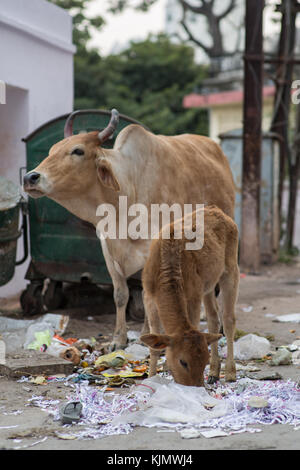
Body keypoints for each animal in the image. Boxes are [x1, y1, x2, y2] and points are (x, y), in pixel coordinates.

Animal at [23, 110, 236, 350]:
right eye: (51, 150)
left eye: (78, 151)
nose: (30, 177)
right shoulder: (108, 249)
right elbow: (120, 295)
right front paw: (118, 339)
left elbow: (145, 294)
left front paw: (147, 334)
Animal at [140, 206, 239, 386]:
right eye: (183, 362)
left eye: (204, 360)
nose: (196, 387)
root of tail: (217, 210)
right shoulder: (148, 296)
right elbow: (153, 346)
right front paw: (151, 377)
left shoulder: (194, 295)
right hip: (208, 285)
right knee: (213, 318)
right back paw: (214, 373)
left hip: (231, 268)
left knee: (228, 320)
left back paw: (230, 372)